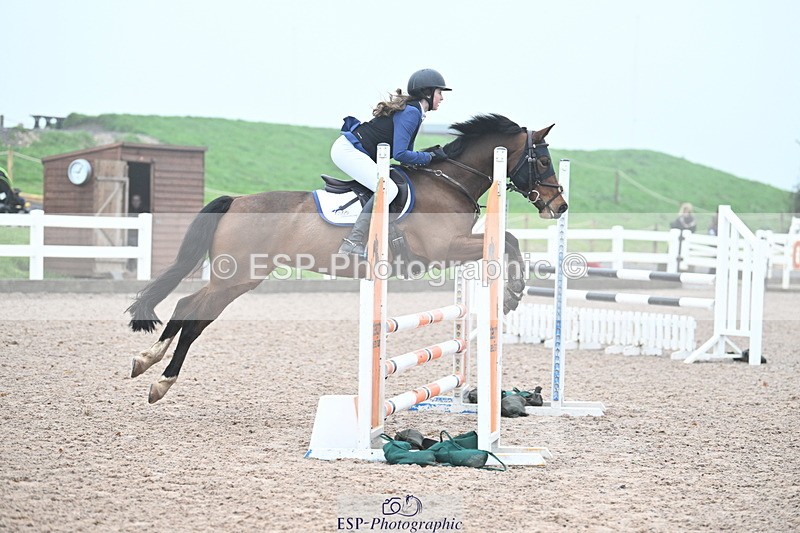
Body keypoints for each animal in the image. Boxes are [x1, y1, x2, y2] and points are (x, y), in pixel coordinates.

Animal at [127, 114, 567, 403]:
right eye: (543, 160)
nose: (559, 206)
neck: (450, 183)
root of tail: (235, 200)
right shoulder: (443, 249)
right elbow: (508, 239)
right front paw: (512, 294)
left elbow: (507, 240)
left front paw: (513, 293)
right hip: (233, 277)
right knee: (188, 309)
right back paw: (158, 376)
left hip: (242, 279)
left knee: (193, 313)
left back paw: (149, 365)